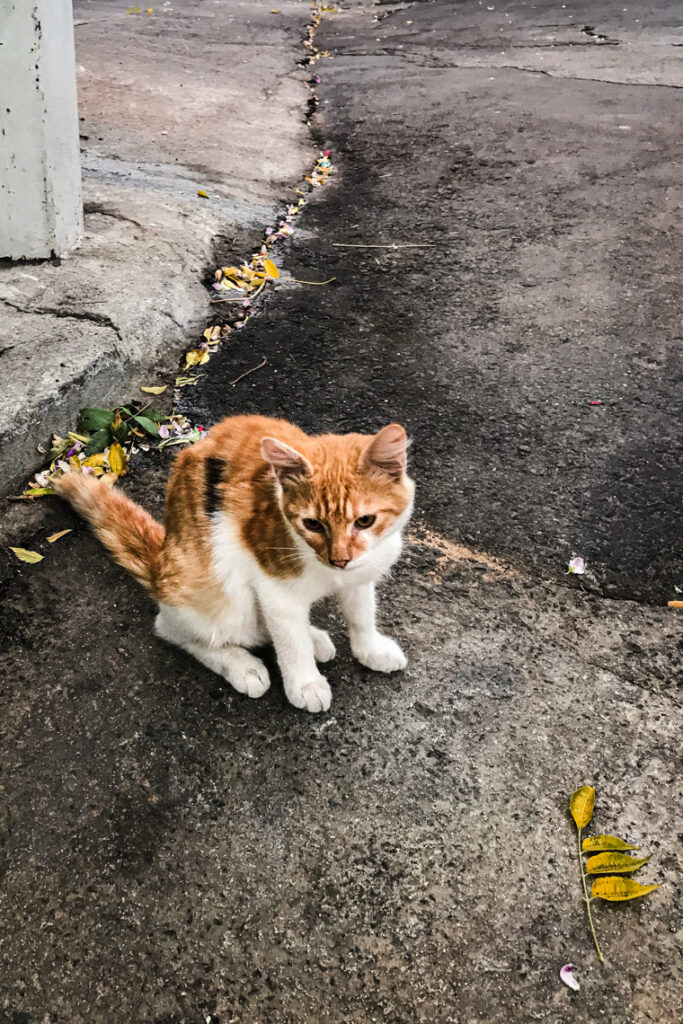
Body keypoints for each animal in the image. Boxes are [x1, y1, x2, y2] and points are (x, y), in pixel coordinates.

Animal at [56, 415, 413, 712]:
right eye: (312, 524)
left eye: (365, 521)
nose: (339, 559)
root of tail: (160, 564)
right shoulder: (274, 587)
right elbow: (290, 640)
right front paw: (305, 684)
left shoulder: (362, 573)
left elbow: (361, 613)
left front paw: (370, 649)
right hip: (216, 583)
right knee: (175, 629)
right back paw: (242, 665)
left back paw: (313, 639)